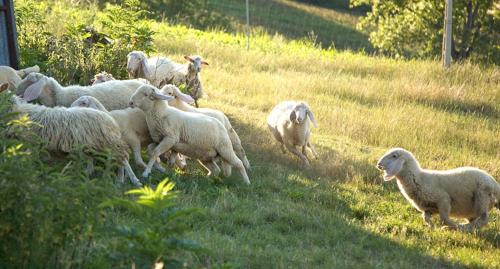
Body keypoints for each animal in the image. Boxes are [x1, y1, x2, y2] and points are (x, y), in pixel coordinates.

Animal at [0, 82, 141, 185]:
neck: (19, 111)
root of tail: (107, 116)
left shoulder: (30, 142)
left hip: (108, 142)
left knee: (123, 157)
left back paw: (132, 180)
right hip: (96, 144)